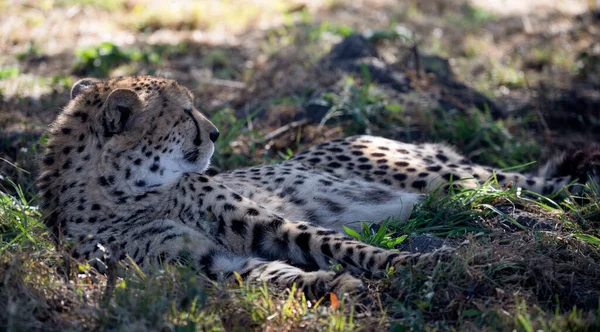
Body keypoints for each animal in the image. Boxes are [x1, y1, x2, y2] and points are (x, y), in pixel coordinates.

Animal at [36, 76, 592, 300]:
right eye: (184, 114)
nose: (214, 133)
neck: (124, 193)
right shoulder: (193, 263)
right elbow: (263, 275)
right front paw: (330, 286)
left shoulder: (262, 223)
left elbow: (334, 244)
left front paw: (413, 264)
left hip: (443, 178)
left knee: (516, 188)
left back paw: (566, 216)